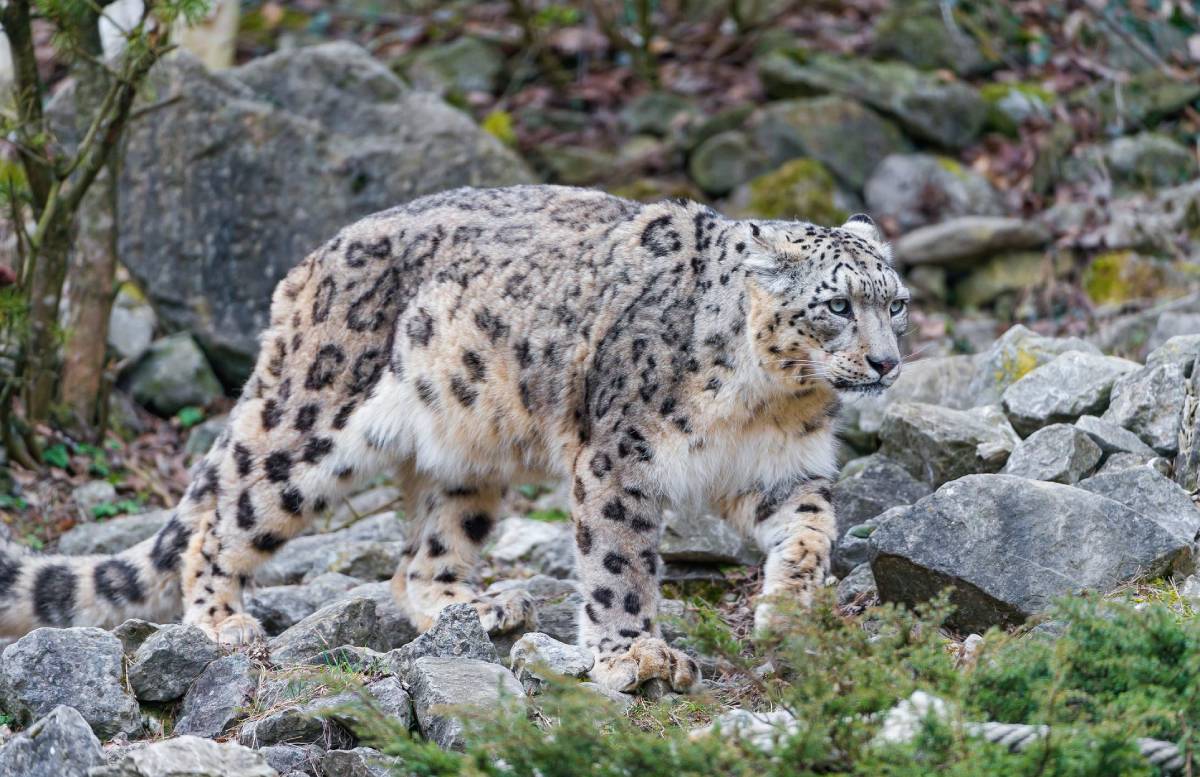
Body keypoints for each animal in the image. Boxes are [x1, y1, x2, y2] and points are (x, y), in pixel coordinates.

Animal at [0, 187, 902, 690]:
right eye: (836, 304)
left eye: (893, 301)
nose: (889, 361)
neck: (766, 402)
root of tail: (307, 267)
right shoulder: (622, 458)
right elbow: (619, 565)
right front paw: (636, 654)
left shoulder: (783, 469)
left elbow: (814, 527)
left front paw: (789, 609)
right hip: (311, 428)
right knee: (226, 518)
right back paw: (220, 620)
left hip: (470, 457)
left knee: (419, 557)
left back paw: (479, 604)